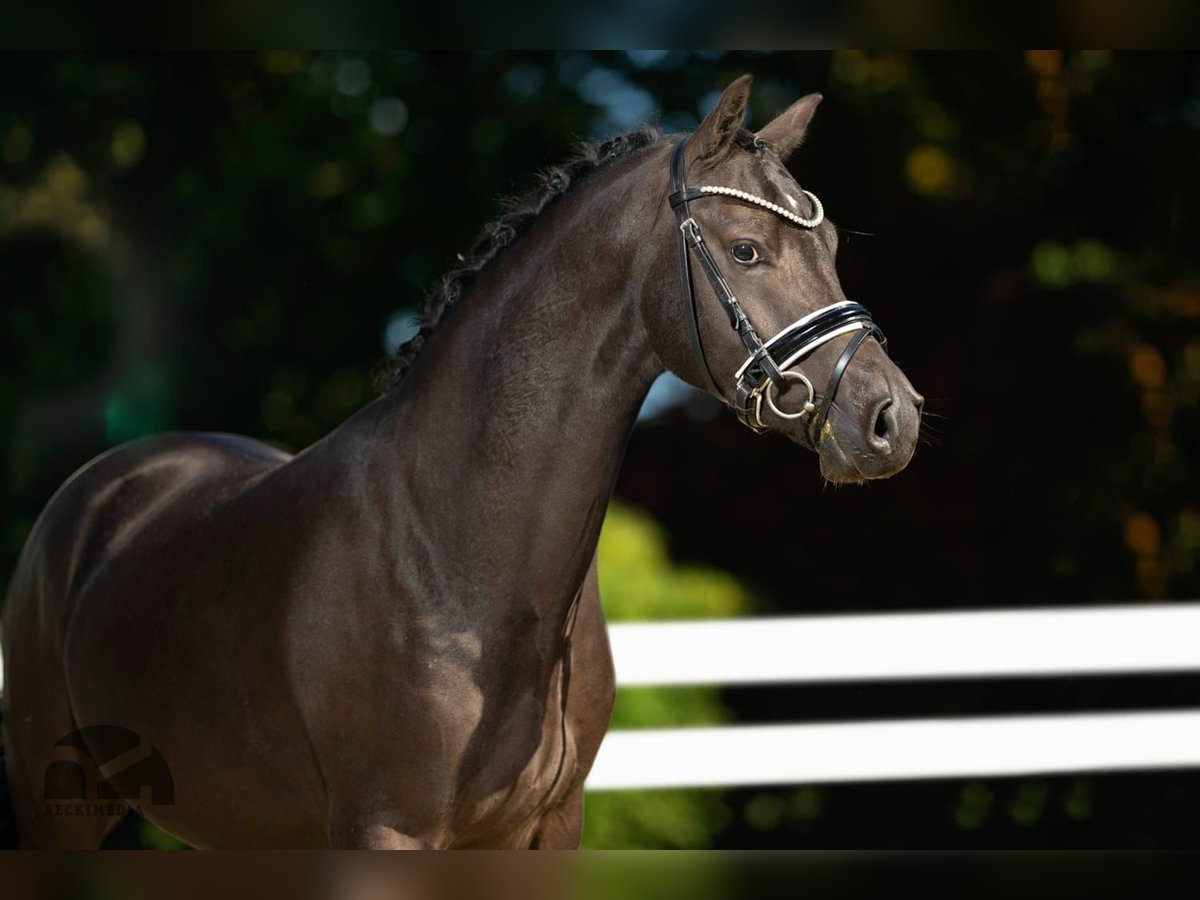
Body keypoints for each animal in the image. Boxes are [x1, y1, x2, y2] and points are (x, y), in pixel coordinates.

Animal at [0, 74, 921, 849]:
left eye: (831, 243)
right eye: (745, 250)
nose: (891, 419)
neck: (463, 554)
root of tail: (103, 488)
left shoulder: (544, 832)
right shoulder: (387, 829)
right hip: (60, 813)